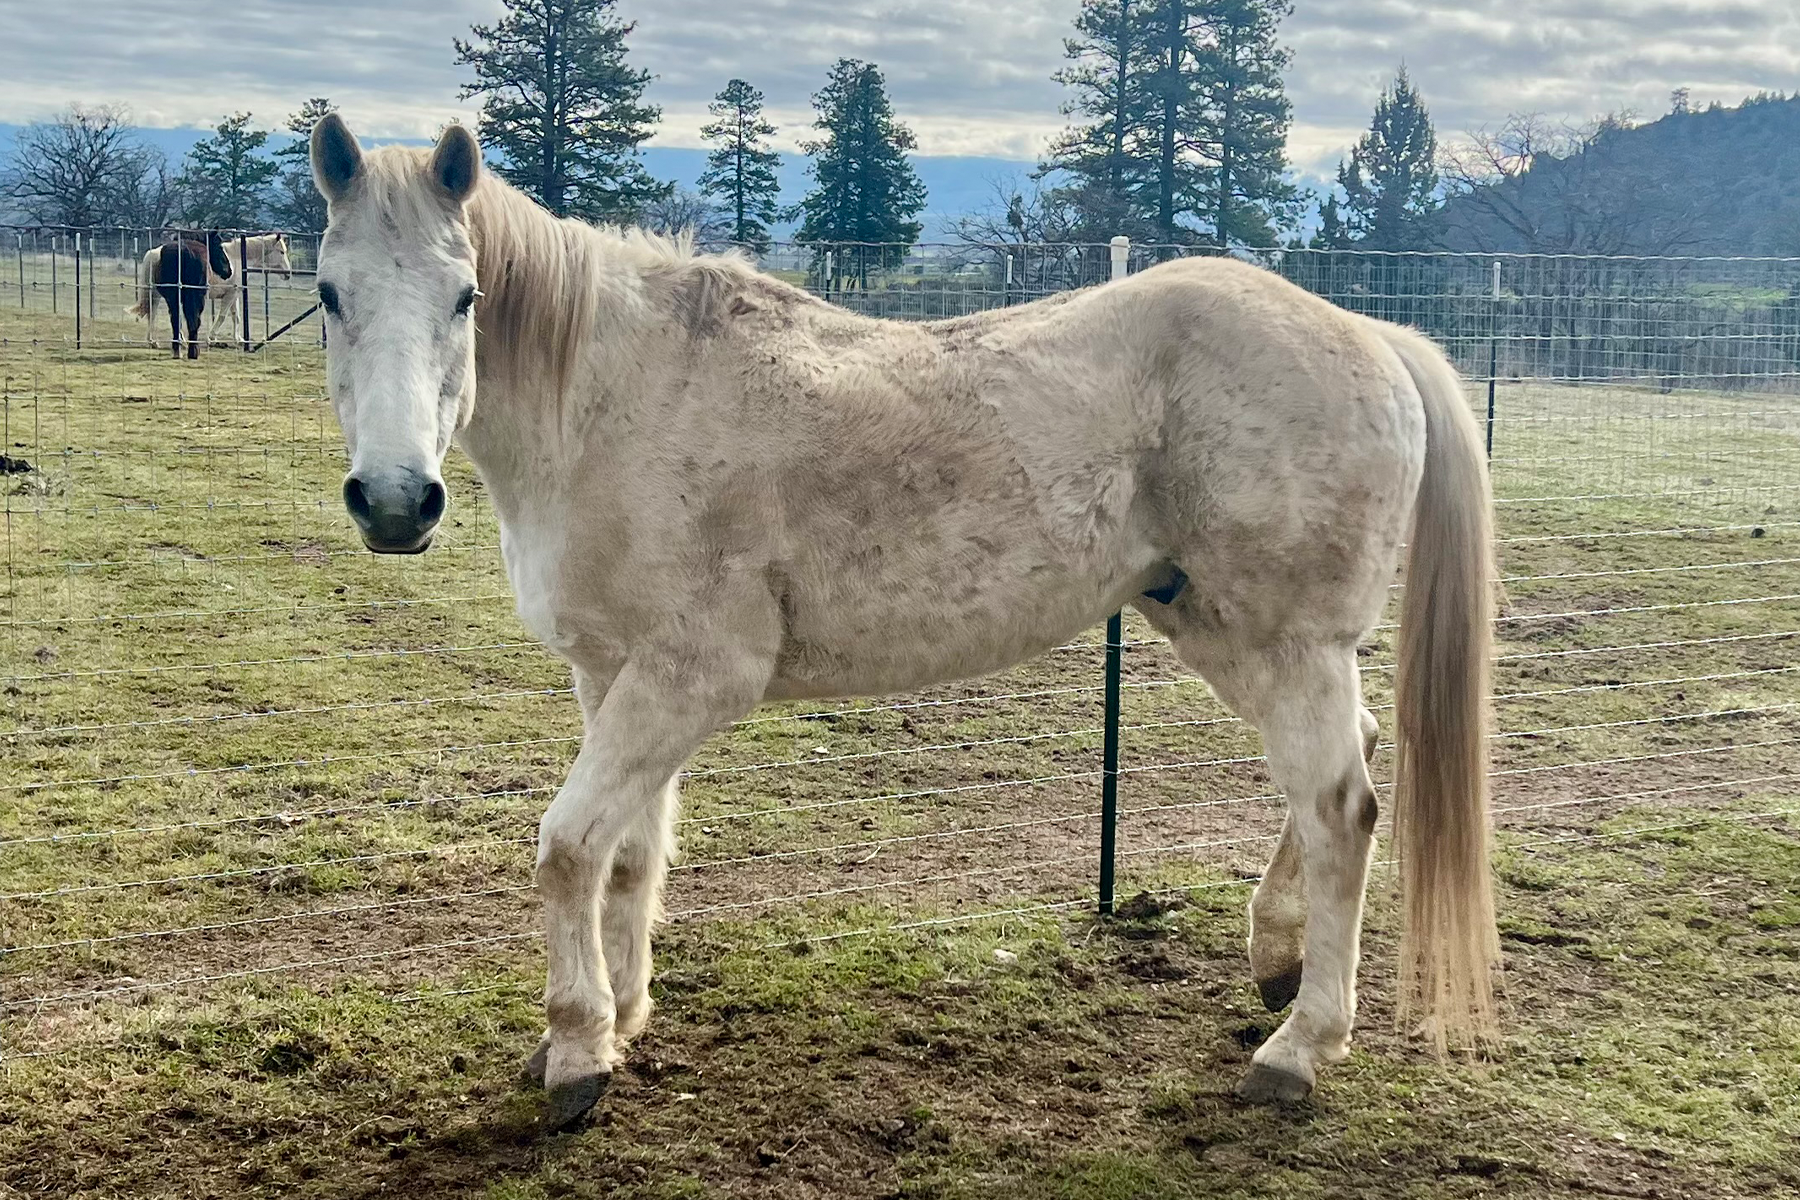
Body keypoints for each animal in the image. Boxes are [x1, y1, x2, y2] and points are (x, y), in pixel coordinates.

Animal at [127, 233, 290, 347]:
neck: (238, 258)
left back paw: (154, 341)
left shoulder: (234, 294)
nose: (288, 273)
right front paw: (211, 338)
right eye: (281, 252)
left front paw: (239, 339)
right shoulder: (230, 296)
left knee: (153, 314)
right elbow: (222, 316)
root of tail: (155, 253)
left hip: (156, 293)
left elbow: (236, 316)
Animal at [309, 115, 1500, 1133]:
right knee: (1341, 773)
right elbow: (629, 857)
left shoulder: (691, 677)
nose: (395, 502)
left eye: (466, 297)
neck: (618, 404)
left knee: (1342, 809)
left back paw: (1299, 1049)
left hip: (1289, 645)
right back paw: (1276, 962)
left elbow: (566, 850)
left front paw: (574, 1056)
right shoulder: (610, 676)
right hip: (1219, 629)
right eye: (328, 294)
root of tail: (1372, 333)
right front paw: (623, 1020)